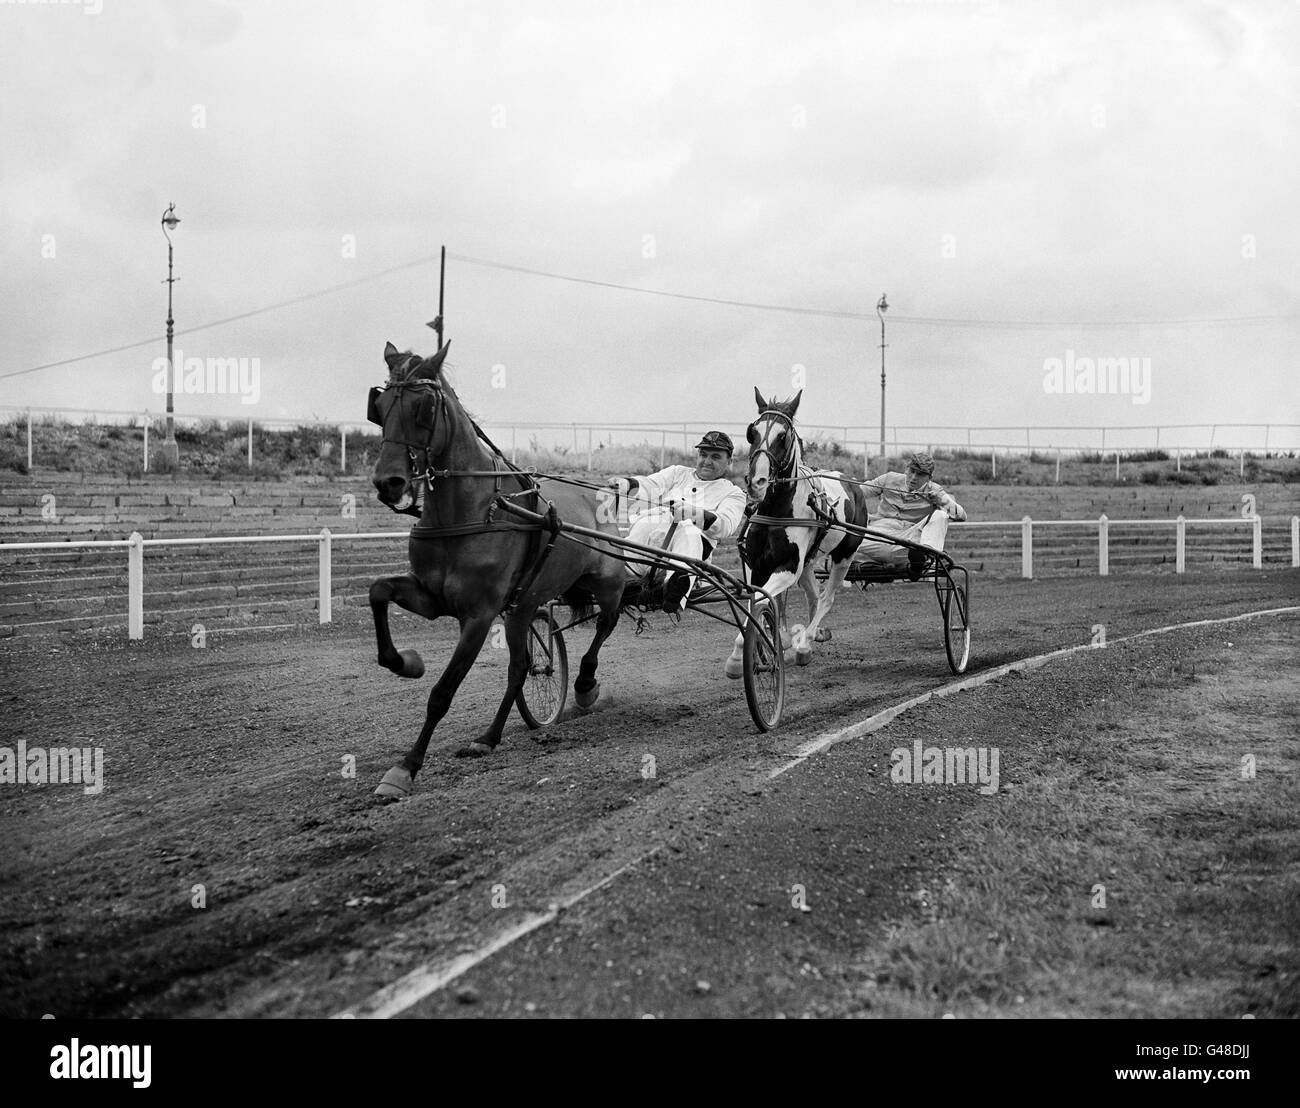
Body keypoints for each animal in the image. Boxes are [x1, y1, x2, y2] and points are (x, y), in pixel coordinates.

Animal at [366, 340, 629, 795]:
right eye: (378, 406)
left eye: (424, 408)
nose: (389, 482)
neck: (470, 512)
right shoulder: (431, 597)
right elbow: (379, 590)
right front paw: (407, 662)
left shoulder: (479, 613)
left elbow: (442, 692)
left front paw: (406, 767)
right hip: (524, 607)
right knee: (522, 668)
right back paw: (490, 736)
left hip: (607, 583)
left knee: (605, 623)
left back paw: (584, 685)